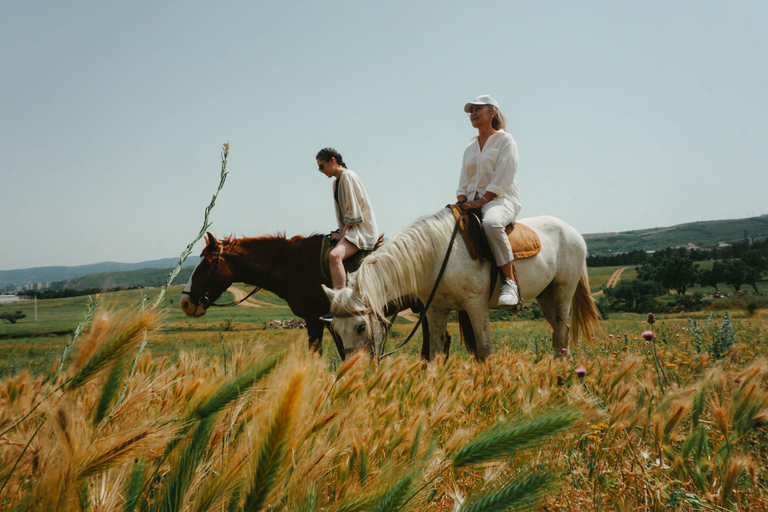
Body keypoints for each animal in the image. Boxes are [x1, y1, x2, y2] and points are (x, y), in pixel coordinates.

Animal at [324, 207, 600, 360]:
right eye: (335, 330)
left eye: (361, 326)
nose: (356, 370)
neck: (434, 255)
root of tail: (574, 233)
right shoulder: (435, 310)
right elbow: (434, 353)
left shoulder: (475, 305)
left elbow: (485, 349)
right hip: (546, 295)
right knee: (559, 334)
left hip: (563, 292)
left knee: (561, 334)